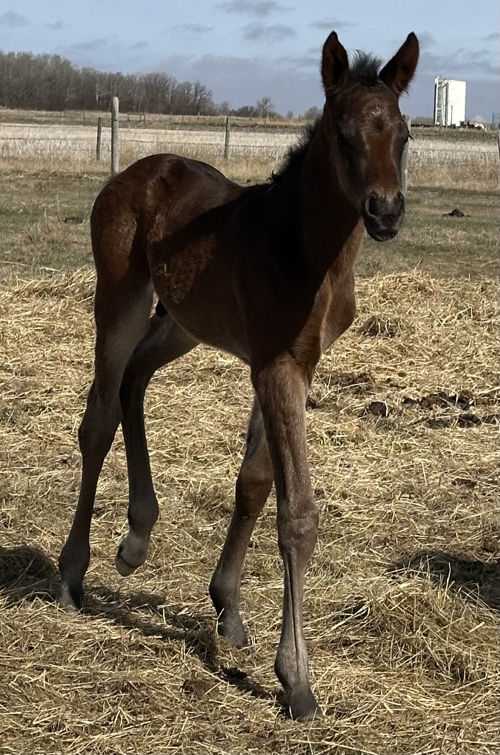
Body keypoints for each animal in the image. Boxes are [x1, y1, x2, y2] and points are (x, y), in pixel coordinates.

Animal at [58, 30, 419, 720]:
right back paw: (72, 570)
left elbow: (254, 483)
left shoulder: (288, 363)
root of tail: (136, 171)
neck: (305, 252)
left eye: (406, 134)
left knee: (134, 381)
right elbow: (297, 511)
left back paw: (137, 537)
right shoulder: (277, 366)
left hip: (184, 322)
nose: (385, 212)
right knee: (98, 418)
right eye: (341, 133)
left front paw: (227, 607)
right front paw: (296, 678)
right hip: (120, 298)